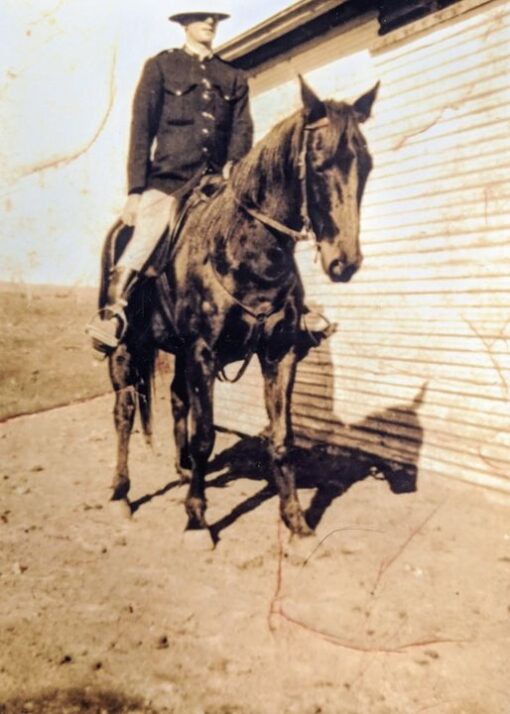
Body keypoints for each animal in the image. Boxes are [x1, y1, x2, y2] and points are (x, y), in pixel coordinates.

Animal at [100, 78, 378, 544]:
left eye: (367, 164)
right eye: (319, 162)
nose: (345, 262)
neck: (245, 249)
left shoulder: (279, 354)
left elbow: (282, 437)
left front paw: (296, 521)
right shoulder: (202, 353)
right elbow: (205, 435)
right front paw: (197, 520)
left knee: (176, 400)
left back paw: (182, 472)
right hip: (125, 347)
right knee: (123, 412)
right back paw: (121, 494)